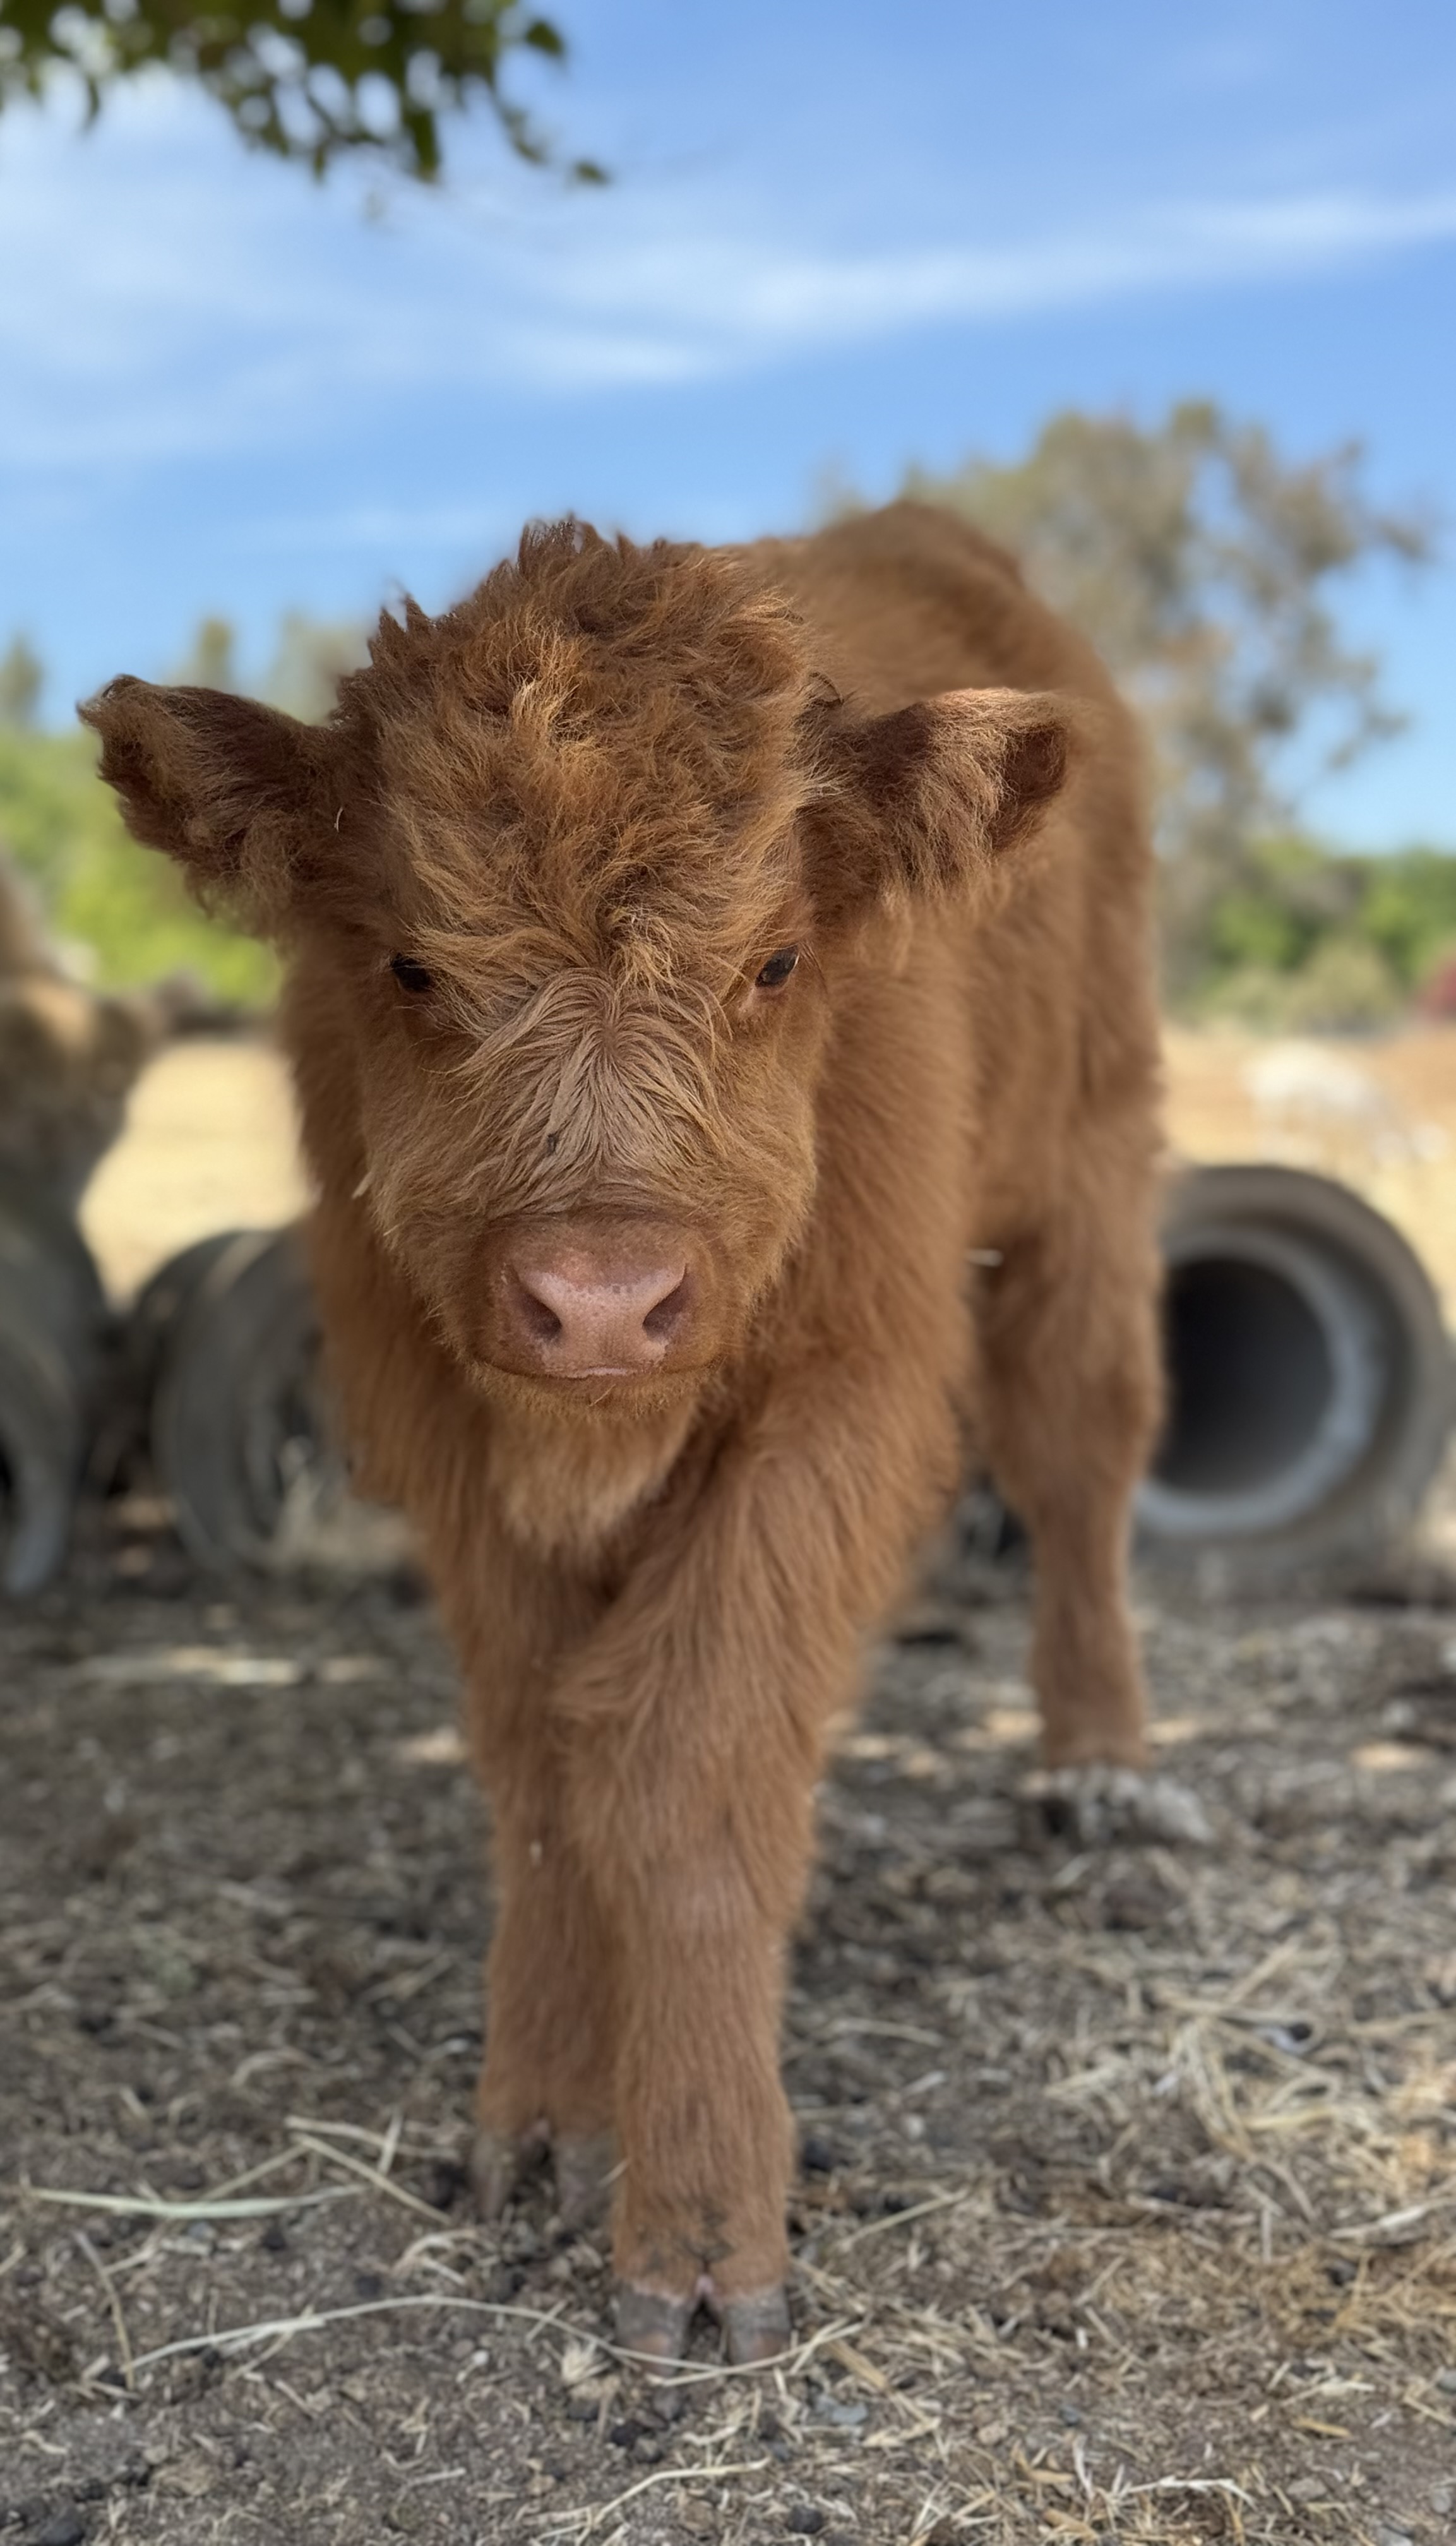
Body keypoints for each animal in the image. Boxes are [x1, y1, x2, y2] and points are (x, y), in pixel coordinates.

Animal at [85, 501, 1165, 2367]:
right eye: (412, 963)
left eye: (775, 961)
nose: (599, 1302)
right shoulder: (436, 1412)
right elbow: (542, 1757)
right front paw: (542, 2118)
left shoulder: (844, 1395)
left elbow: (685, 1760)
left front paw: (702, 2223)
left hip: (1087, 1170)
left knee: (1082, 1455)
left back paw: (1096, 1764)